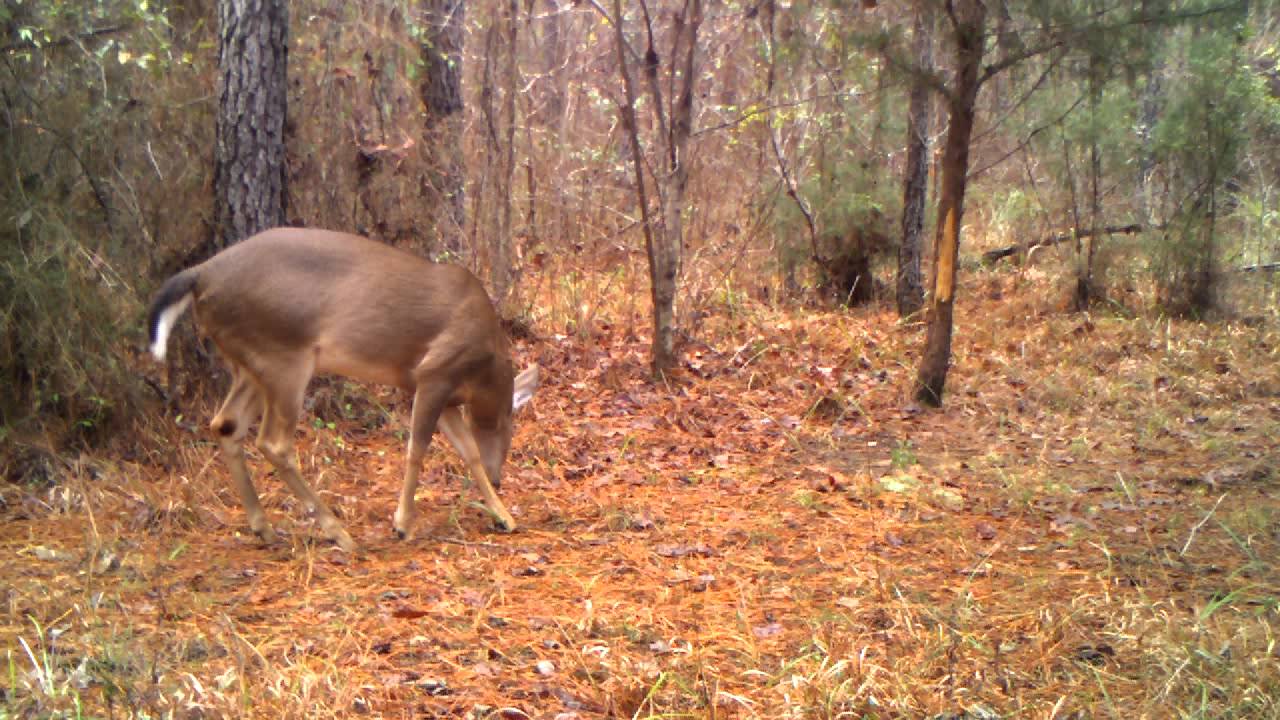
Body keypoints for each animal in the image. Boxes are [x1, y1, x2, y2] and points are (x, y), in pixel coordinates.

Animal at [146, 227, 539, 552]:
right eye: (509, 428)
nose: (499, 479)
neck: (485, 367)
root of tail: (201, 274)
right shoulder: (434, 372)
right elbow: (418, 449)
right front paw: (402, 524)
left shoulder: (437, 392)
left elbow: (467, 451)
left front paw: (504, 516)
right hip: (282, 355)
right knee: (273, 442)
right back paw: (339, 533)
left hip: (247, 364)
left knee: (226, 424)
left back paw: (265, 529)